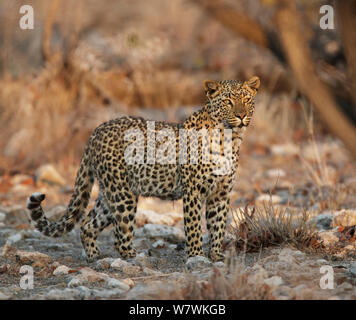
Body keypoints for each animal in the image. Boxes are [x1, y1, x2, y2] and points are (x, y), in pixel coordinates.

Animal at [25, 75, 258, 262]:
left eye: (246, 100)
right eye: (228, 102)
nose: (241, 116)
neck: (230, 140)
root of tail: (95, 132)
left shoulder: (221, 193)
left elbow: (218, 224)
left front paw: (216, 255)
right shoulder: (193, 191)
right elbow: (193, 226)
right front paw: (195, 256)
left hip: (110, 194)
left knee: (88, 224)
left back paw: (94, 256)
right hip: (122, 194)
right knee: (120, 233)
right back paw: (133, 256)